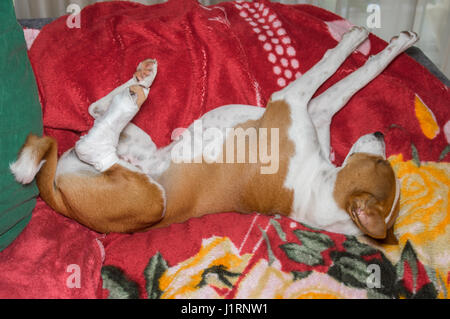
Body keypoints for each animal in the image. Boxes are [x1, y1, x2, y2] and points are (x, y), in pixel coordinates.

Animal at [11, 28, 418, 242]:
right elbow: (350, 81)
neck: (317, 188)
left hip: (147, 197)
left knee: (94, 141)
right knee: (97, 113)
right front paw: (387, 43)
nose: (380, 133)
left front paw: (356, 41)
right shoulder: (312, 108)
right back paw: (143, 78)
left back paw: (134, 93)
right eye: (383, 163)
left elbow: (329, 68)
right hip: (140, 145)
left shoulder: (289, 100)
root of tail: (59, 197)